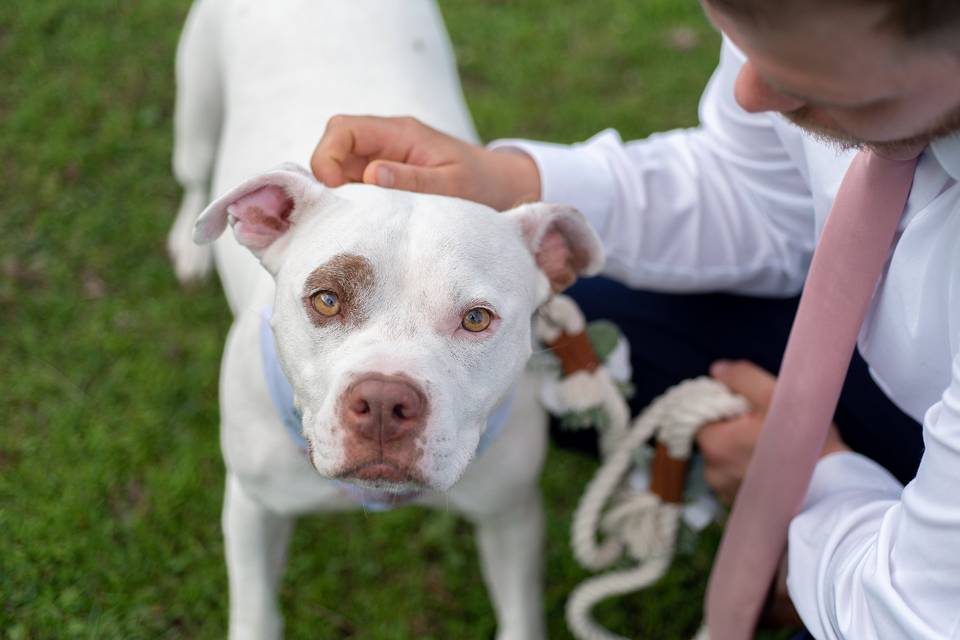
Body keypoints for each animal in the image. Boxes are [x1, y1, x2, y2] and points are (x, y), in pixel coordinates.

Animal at [165, 2, 600, 636]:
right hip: (196, 104)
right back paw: (189, 242)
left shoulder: (511, 515)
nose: (384, 403)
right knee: (194, 172)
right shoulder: (252, 509)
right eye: (325, 300)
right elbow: (256, 612)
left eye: (476, 319)